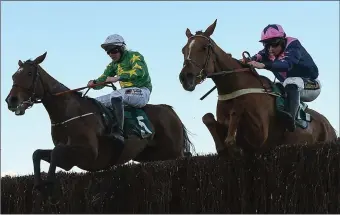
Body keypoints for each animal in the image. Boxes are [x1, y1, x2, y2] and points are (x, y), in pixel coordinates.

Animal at [5, 52, 193, 193]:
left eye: (29, 74)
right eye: (14, 75)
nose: (11, 100)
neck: (68, 113)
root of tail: (170, 110)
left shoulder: (89, 154)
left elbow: (56, 152)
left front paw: (50, 182)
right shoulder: (70, 157)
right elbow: (37, 153)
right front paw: (38, 184)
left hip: (173, 152)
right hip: (150, 156)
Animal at [179, 19, 336, 157]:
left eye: (204, 47)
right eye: (183, 50)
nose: (185, 77)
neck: (234, 88)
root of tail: (329, 125)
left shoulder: (259, 136)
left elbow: (236, 118)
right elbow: (208, 119)